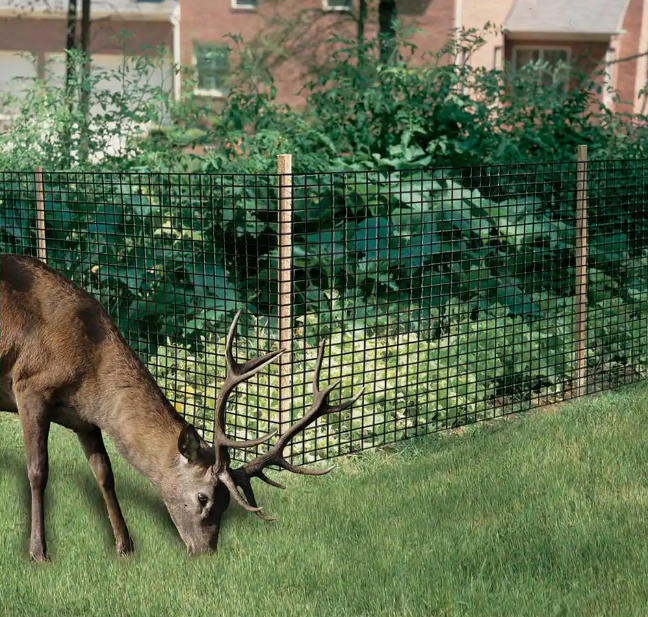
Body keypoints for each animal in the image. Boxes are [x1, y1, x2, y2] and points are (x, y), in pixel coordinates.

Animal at [0, 253, 364, 562]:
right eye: (203, 497)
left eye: (227, 504)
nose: (206, 551)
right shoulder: (30, 387)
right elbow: (38, 471)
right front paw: (38, 552)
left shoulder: (84, 419)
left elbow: (105, 474)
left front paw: (125, 546)